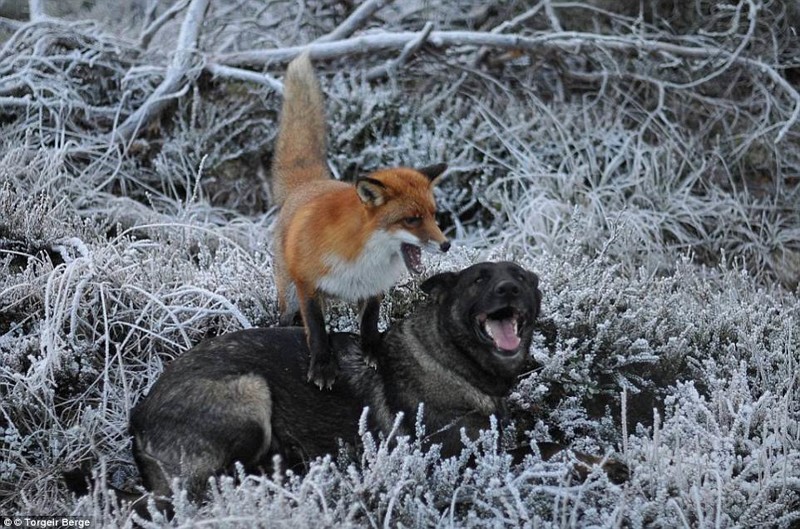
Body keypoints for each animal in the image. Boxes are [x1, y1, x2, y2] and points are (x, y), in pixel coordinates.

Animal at [130, 260, 544, 504]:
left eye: (522, 278)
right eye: (478, 280)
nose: (509, 289)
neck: (451, 359)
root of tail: (138, 420)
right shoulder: (458, 454)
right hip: (251, 393)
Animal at [274, 52, 450, 388]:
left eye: (435, 216)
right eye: (412, 219)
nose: (446, 245)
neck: (360, 255)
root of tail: (310, 184)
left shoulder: (373, 287)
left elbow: (369, 322)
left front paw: (373, 352)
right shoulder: (307, 284)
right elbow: (317, 330)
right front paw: (323, 366)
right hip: (287, 294)